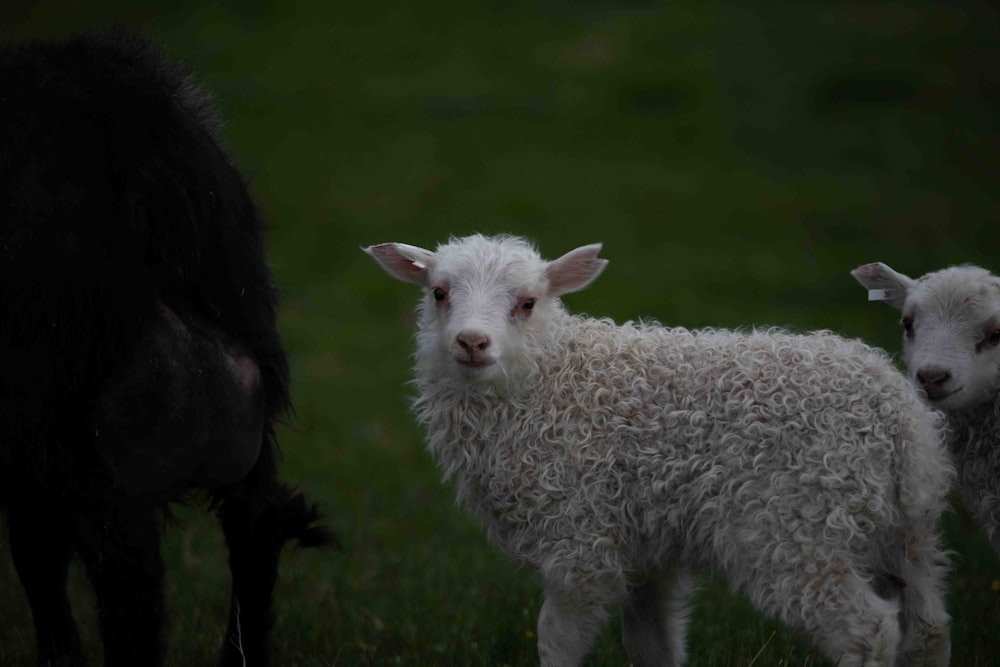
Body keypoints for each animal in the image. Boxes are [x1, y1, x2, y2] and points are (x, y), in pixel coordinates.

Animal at [366, 235, 952, 667]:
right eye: (438, 293)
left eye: (528, 303)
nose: (471, 343)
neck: (549, 383)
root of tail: (900, 423)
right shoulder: (647, 551)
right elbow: (653, 645)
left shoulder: (579, 537)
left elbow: (556, 640)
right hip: (905, 531)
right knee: (927, 629)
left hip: (798, 527)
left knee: (868, 630)